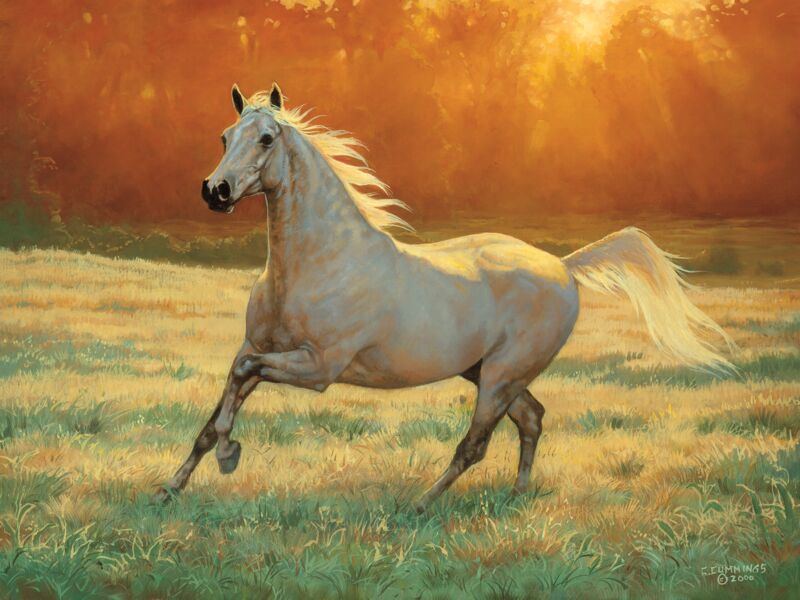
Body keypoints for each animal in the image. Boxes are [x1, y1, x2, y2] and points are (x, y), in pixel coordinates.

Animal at [156, 83, 733, 512]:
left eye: (267, 138)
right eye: (225, 135)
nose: (216, 191)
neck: (317, 264)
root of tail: (564, 267)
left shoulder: (318, 367)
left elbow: (241, 378)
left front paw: (230, 454)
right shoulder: (259, 347)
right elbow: (221, 402)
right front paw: (170, 489)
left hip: (500, 376)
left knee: (475, 445)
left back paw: (419, 505)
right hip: (488, 373)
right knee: (532, 419)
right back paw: (516, 498)